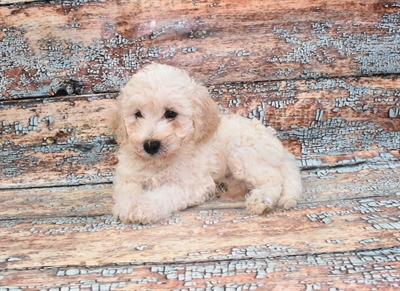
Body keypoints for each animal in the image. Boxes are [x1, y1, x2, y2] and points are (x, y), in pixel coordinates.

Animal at [108, 63, 302, 224]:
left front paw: (144, 207)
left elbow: (163, 194)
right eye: (138, 114)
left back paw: (260, 199)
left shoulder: (190, 184)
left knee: (273, 178)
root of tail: (281, 148)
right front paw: (127, 205)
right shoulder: (127, 175)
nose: (150, 145)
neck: (159, 162)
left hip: (242, 154)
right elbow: (128, 189)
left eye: (170, 113)